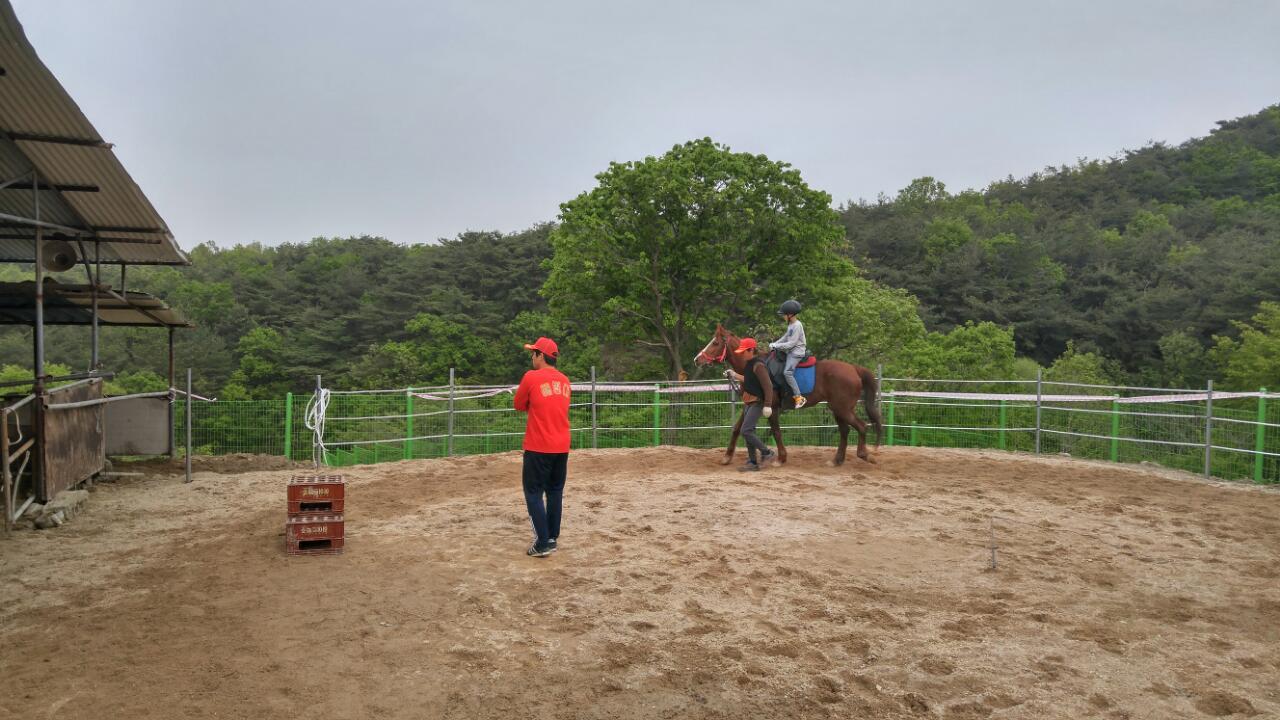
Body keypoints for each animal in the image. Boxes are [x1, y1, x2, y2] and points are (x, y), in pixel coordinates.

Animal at [696, 320, 885, 466]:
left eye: (715, 343)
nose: (697, 359)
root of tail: (854, 369)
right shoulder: (750, 404)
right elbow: (737, 429)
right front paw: (727, 457)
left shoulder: (771, 407)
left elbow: (776, 432)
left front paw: (781, 458)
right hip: (838, 409)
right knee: (845, 431)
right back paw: (837, 460)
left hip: (842, 409)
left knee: (861, 426)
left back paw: (864, 455)